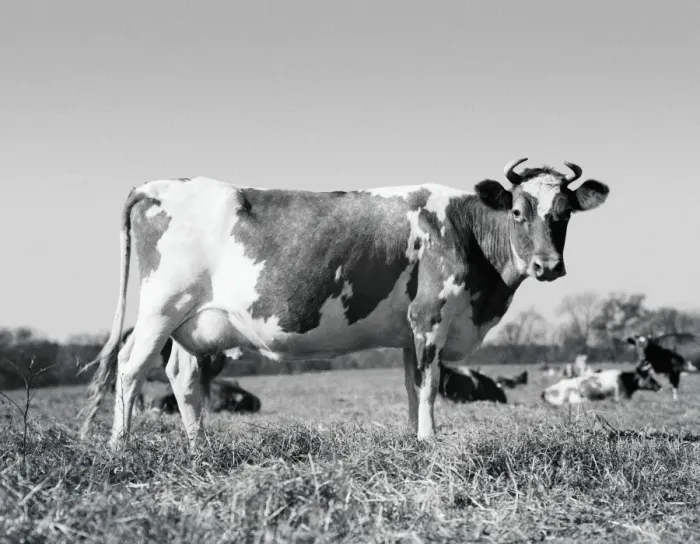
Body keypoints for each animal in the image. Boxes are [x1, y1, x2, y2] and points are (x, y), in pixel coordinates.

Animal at [79, 158, 609, 449]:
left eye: (564, 214)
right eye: (518, 211)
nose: (547, 265)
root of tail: (161, 185)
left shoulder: (409, 332)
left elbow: (412, 386)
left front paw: (413, 440)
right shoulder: (429, 317)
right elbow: (430, 384)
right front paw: (430, 440)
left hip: (193, 322)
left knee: (183, 376)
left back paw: (199, 447)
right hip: (160, 308)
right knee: (130, 366)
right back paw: (119, 446)